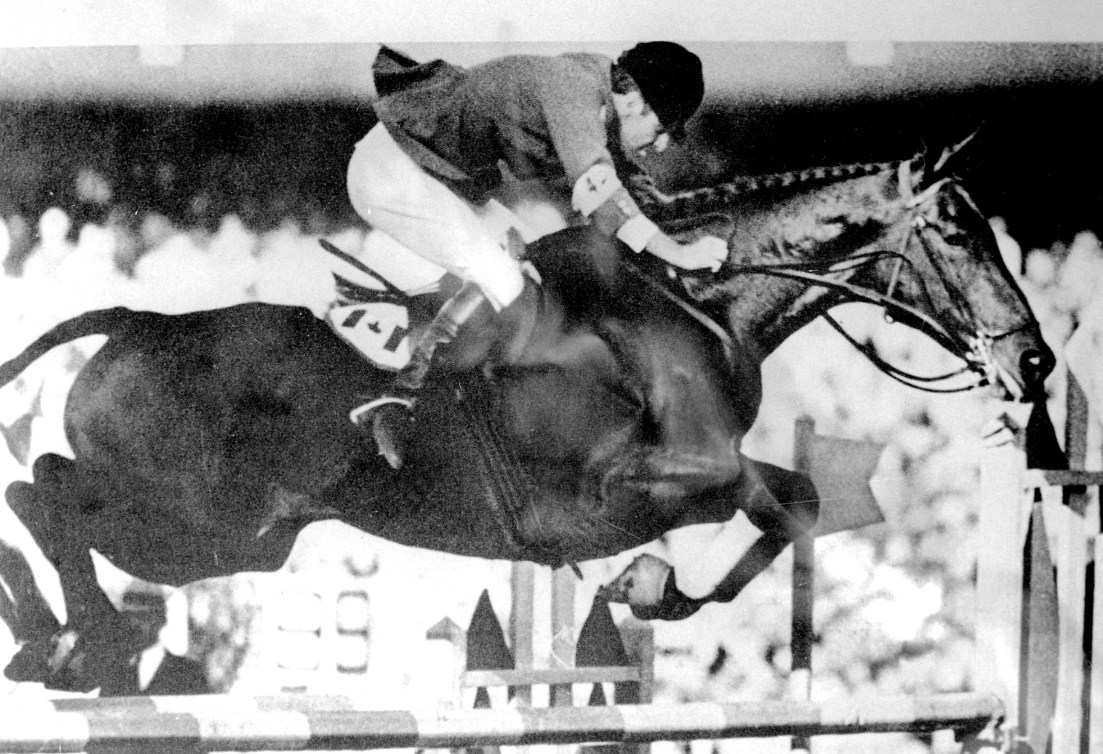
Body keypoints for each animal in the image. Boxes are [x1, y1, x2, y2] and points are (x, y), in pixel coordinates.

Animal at [0, 139, 1050, 687]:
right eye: (957, 229)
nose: (1034, 358)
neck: (696, 301)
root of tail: (134, 320)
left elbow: (793, 500)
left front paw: (652, 591)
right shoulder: (612, 490)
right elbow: (762, 493)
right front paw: (648, 584)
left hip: (240, 543)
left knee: (36, 492)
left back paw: (53, 641)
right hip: (198, 524)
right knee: (45, 489)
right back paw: (81, 641)